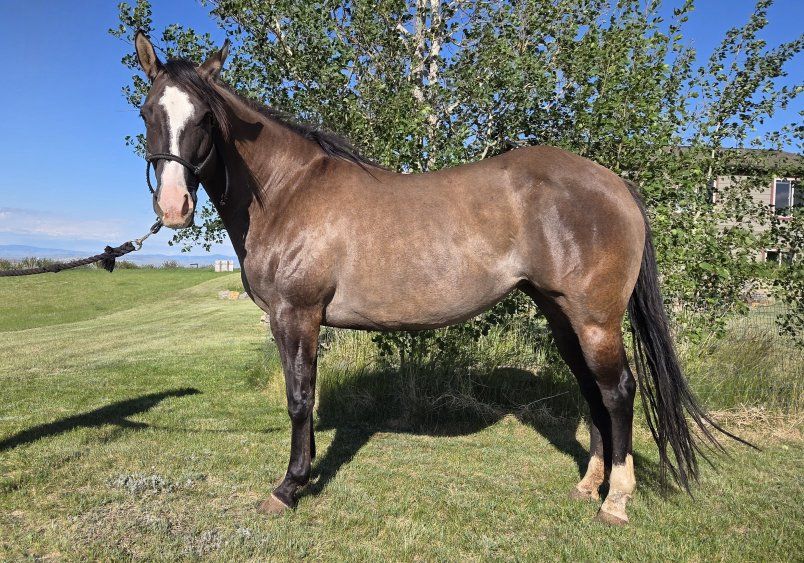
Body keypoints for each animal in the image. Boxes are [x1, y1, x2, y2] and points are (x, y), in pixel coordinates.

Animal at [133, 32, 742, 525]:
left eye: (205, 118)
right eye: (146, 112)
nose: (173, 207)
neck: (289, 190)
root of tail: (616, 184)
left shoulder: (296, 316)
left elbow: (300, 399)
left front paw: (288, 488)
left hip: (594, 318)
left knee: (617, 392)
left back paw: (615, 500)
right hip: (562, 314)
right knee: (592, 390)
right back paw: (587, 486)